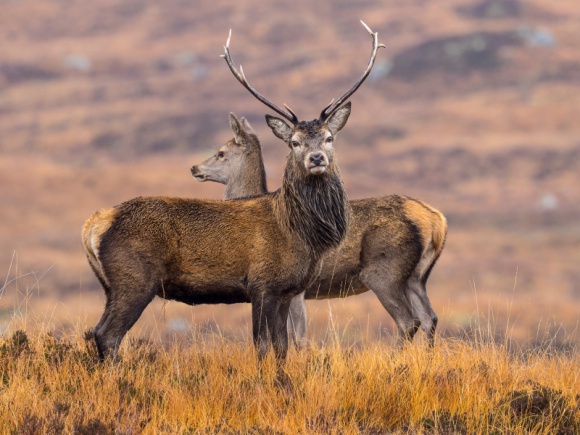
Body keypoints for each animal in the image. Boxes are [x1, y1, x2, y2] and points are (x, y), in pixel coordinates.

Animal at [80, 23, 380, 374]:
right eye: (293, 142)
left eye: (329, 138)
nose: (316, 158)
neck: (302, 233)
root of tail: (95, 224)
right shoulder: (261, 284)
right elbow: (262, 346)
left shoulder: (287, 289)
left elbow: (282, 347)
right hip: (134, 278)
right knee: (107, 334)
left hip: (110, 286)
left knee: (98, 331)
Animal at [193, 114, 446, 350]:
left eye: (221, 152)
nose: (194, 168)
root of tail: (435, 220)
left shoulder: (297, 292)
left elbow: (299, 339)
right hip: (417, 276)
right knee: (429, 318)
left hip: (383, 273)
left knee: (408, 321)